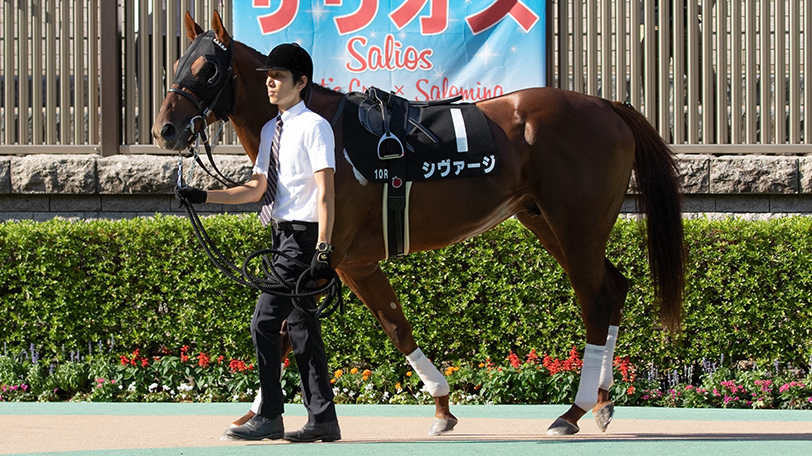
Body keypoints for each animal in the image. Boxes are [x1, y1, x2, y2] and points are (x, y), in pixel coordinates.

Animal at [152, 11, 685, 437]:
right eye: (176, 65)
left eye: (207, 68)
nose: (165, 130)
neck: (324, 131)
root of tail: (610, 106)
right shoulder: (333, 265)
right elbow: (295, 330)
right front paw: (255, 412)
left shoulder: (342, 260)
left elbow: (385, 327)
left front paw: (442, 406)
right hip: (547, 222)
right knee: (614, 287)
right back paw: (602, 401)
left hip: (575, 225)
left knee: (595, 302)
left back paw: (571, 412)